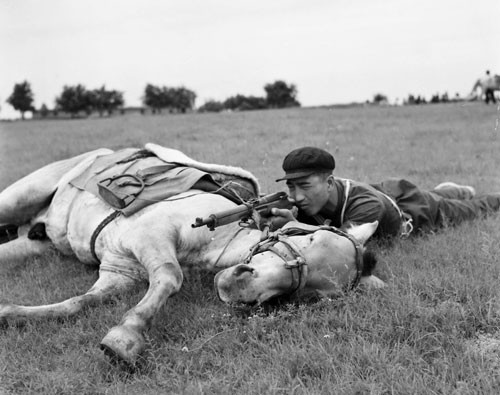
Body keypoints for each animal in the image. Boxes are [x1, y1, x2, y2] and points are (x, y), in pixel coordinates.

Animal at [0, 146, 382, 368]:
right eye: (308, 236)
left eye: (311, 294)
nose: (240, 286)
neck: (213, 243)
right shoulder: (152, 235)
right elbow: (170, 276)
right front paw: (125, 339)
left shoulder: (118, 271)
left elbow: (77, 303)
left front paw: (10, 313)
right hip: (18, 198)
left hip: (36, 242)